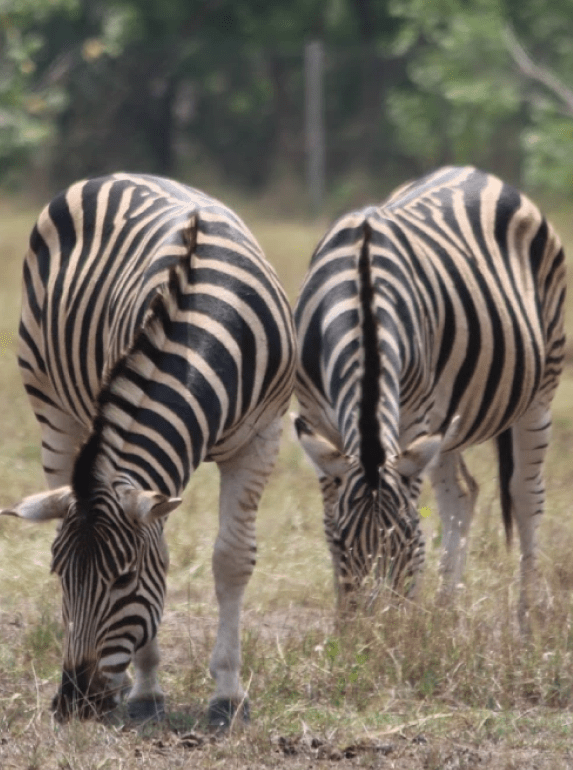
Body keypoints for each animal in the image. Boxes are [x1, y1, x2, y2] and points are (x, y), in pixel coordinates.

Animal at [0, 171, 294, 724]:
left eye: (124, 579)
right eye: (59, 575)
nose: (74, 703)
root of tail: (111, 175)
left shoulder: (262, 437)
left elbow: (232, 559)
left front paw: (227, 692)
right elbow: (161, 547)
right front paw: (147, 687)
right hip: (51, 405)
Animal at [292, 165, 564, 620]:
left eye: (409, 540)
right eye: (344, 543)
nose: (377, 627)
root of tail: (477, 173)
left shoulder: (412, 417)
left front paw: (405, 620)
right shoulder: (316, 419)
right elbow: (330, 515)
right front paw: (345, 623)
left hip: (540, 390)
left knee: (526, 496)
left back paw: (526, 617)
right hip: (445, 418)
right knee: (462, 493)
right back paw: (444, 612)